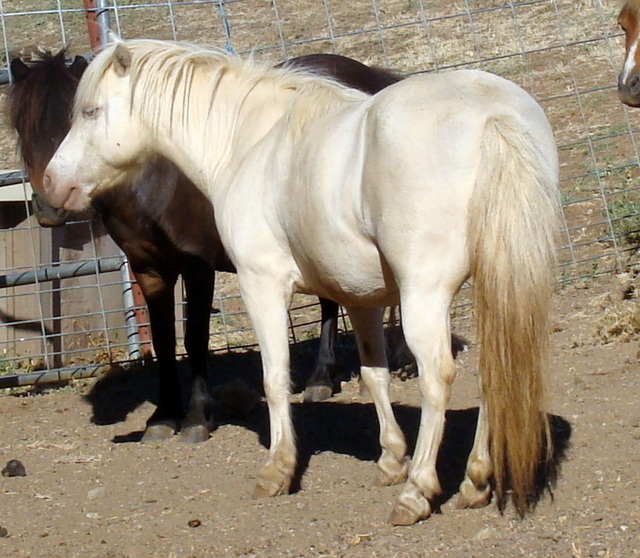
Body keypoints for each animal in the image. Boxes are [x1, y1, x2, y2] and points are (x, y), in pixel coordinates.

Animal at [7, 50, 402, 442]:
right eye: (21, 127)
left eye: (77, 116)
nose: (50, 205)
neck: (156, 178)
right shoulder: (148, 269)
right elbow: (165, 340)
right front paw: (164, 416)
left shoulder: (197, 265)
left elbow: (196, 336)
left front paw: (197, 416)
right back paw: (327, 377)